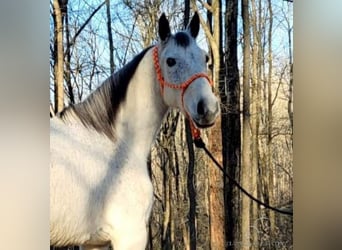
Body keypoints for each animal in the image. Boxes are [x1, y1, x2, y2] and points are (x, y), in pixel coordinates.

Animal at [50, 12, 219, 249]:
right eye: (171, 61)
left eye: (205, 58)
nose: (208, 109)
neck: (116, 146)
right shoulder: (131, 234)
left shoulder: (94, 242)